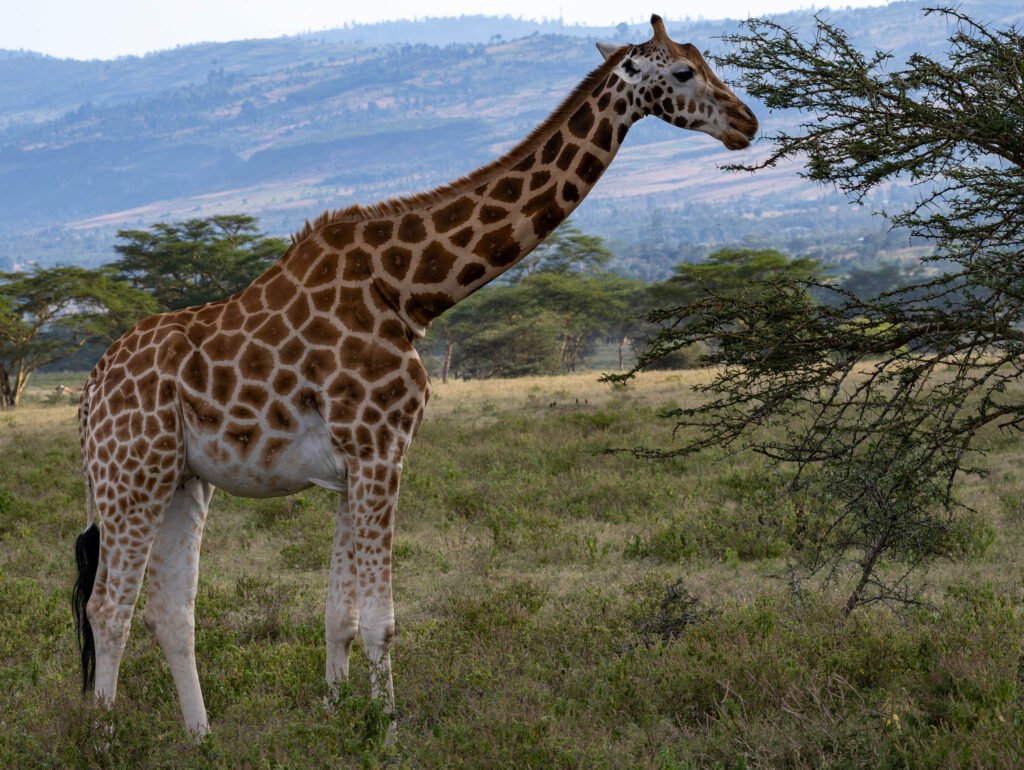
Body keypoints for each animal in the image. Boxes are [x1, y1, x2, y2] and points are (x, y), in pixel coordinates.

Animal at [70, 15, 753, 737]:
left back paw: (201, 738)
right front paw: (386, 731)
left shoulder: (352, 465)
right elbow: (381, 621)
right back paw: (104, 736)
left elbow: (339, 616)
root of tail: (87, 395)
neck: (411, 290)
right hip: (131, 474)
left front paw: (338, 718)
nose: (747, 122)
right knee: (106, 608)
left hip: (181, 480)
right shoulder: (380, 448)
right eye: (681, 72)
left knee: (168, 612)